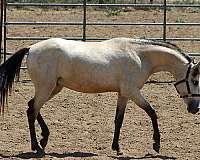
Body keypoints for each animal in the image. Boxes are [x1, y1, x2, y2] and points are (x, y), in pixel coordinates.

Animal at [0, 37, 199, 155]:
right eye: (195, 81)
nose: (194, 108)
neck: (140, 56)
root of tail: (31, 48)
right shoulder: (133, 91)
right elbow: (152, 112)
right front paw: (156, 144)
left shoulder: (123, 94)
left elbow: (119, 120)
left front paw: (117, 147)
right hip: (46, 87)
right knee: (32, 110)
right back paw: (37, 146)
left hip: (54, 87)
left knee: (31, 106)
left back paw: (44, 139)